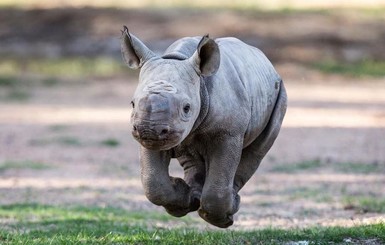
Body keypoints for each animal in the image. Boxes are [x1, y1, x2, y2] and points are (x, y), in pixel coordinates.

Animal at [120, 26, 284, 228]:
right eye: (132, 104)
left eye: (186, 108)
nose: (149, 130)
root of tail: (264, 59)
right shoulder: (149, 132)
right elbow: (153, 182)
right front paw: (180, 199)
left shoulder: (228, 133)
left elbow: (221, 174)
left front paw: (220, 219)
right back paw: (191, 198)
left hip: (279, 92)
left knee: (257, 150)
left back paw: (230, 204)